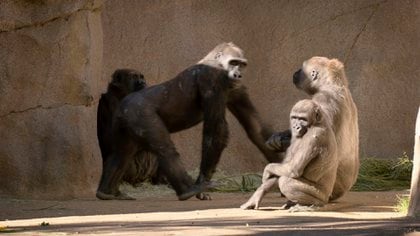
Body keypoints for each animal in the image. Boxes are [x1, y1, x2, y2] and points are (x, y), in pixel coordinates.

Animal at [97, 42, 282, 201]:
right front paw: (202, 182)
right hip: (138, 112)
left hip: (126, 120)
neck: (217, 63)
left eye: (242, 64)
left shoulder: (237, 87)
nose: (238, 74)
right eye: (233, 62)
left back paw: (106, 192)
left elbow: (255, 127)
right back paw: (189, 190)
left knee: (121, 153)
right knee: (164, 148)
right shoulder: (212, 78)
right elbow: (215, 130)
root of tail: (124, 102)